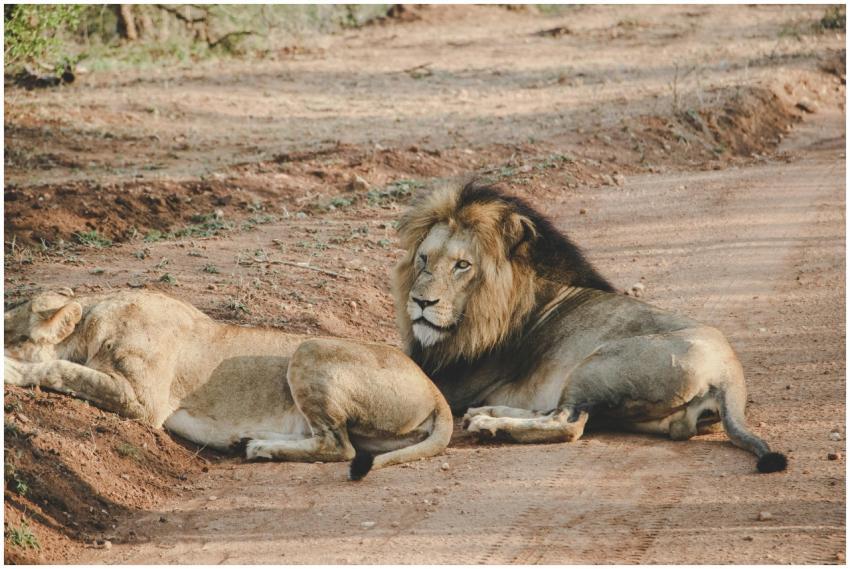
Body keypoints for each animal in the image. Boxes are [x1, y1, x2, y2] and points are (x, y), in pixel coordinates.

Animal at [4, 289, 451, 478]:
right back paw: (253, 441)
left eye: (7, 328)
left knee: (340, 447)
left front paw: (10, 370)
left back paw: (260, 449)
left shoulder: (143, 403)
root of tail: (434, 390)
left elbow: (59, 369)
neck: (94, 322)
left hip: (309, 348)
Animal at [392, 181, 787, 473]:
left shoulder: (451, 380)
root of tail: (730, 374)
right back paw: (487, 414)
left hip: (596, 365)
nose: (421, 302)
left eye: (462, 265)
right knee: (561, 413)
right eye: (424, 259)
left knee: (568, 423)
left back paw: (489, 426)